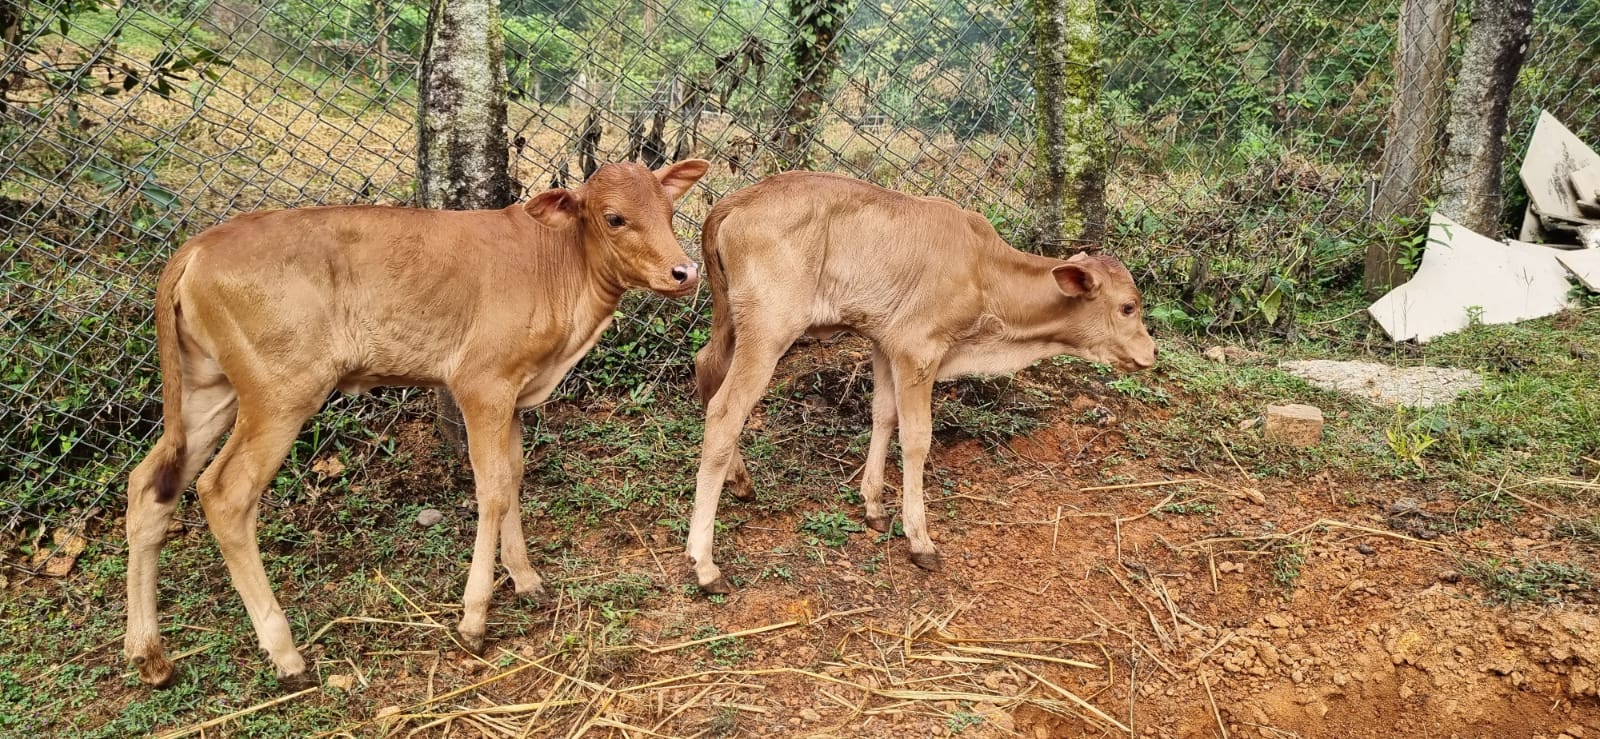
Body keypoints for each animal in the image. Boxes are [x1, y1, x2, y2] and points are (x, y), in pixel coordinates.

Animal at [123, 160, 710, 688]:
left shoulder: (513, 393)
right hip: (280, 393)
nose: (685, 272)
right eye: (614, 218)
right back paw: (286, 655)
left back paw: (150, 656)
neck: (558, 269)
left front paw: (526, 580)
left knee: (148, 484)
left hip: (209, 389)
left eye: (669, 210)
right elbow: (492, 489)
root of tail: (198, 246)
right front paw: (473, 619)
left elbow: (513, 476)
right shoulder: (481, 383)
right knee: (224, 493)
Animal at [685, 171, 1156, 593]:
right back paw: (705, 564)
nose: (1151, 353)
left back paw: (740, 481)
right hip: (770, 329)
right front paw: (919, 539)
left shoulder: (884, 343)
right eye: (1128, 307)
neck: (984, 271)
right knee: (725, 412)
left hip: (732, 321)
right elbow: (916, 439)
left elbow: (883, 416)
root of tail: (739, 198)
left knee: (705, 366)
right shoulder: (918, 349)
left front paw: (874, 505)